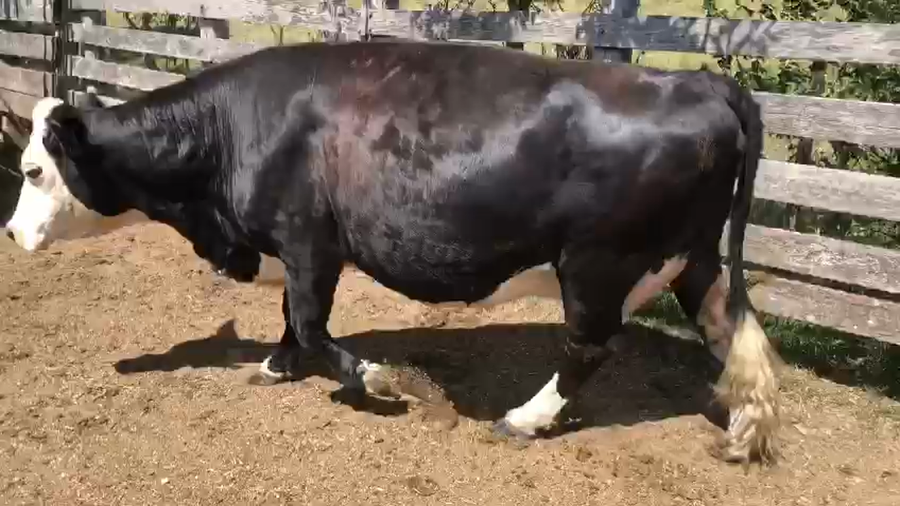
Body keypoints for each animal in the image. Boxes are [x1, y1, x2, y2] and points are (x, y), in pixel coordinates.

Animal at [3, 40, 781, 465]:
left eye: (34, 170)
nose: (10, 234)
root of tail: (700, 79)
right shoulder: (295, 249)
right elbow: (293, 323)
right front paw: (276, 365)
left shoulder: (309, 242)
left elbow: (313, 325)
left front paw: (380, 380)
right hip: (692, 258)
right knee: (733, 328)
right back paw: (746, 426)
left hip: (597, 262)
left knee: (589, 346)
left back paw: (525, 417)